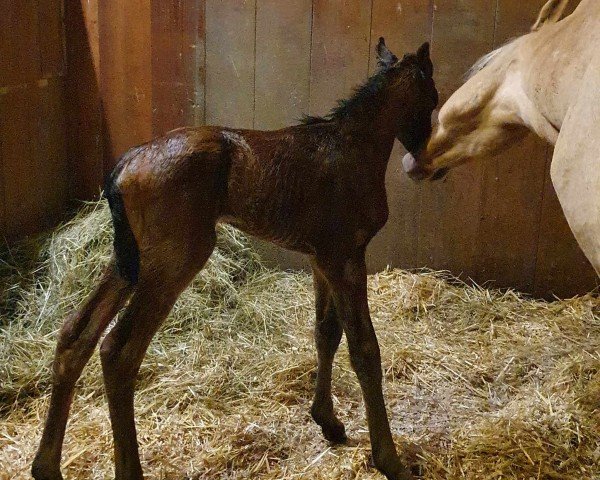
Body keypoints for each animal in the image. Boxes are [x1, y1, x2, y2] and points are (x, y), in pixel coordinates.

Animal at [31, 38, 436, 480]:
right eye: (433, 98)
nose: (424, 158)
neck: (351, 148)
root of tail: (125, 164)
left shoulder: (321, 259)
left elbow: (326, 334)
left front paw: (328, 421)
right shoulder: (346, 258)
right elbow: (364, 349)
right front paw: (390, 459)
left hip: (130, 260)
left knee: (77, 332)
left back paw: (46, 465)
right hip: (174, 259)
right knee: (119, 351)